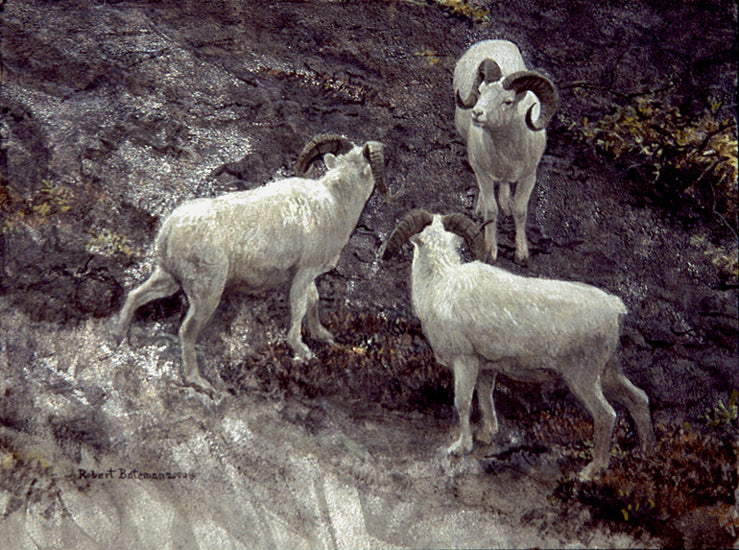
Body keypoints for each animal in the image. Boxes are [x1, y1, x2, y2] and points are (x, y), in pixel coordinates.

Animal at [113, 134, 393, 394]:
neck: (334, 204)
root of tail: (170, 229)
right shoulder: (304, 273)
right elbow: (299, 307)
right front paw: (302, 350)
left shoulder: (306, 275)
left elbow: (313, 302)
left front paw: (322, 336)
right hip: (206, 292)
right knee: (186, 331)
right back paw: (198, 381)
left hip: (168, 277)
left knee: (136, 296)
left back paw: (117, 336)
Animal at [382, 210, 655, 480]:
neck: (441, 285)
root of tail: (613, 307)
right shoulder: (486, 367)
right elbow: (485, 397)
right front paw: (487, 435)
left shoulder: (465, 361)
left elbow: (462, 402)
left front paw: (460, 447)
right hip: (608, 370)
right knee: (638, 398)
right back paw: (644, 453)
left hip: (582, 376)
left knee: (606, 415)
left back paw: (591, 471)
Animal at [454, 39, 559, 264]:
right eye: (481, 91)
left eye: (508, 101)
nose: (477, 113)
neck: (506, 156)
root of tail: (492, 41)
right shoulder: (483, 173)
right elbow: (491, 211)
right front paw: (491, 251)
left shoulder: (529, 176)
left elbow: (520, 211)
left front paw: (522, 254)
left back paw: (506, 203)